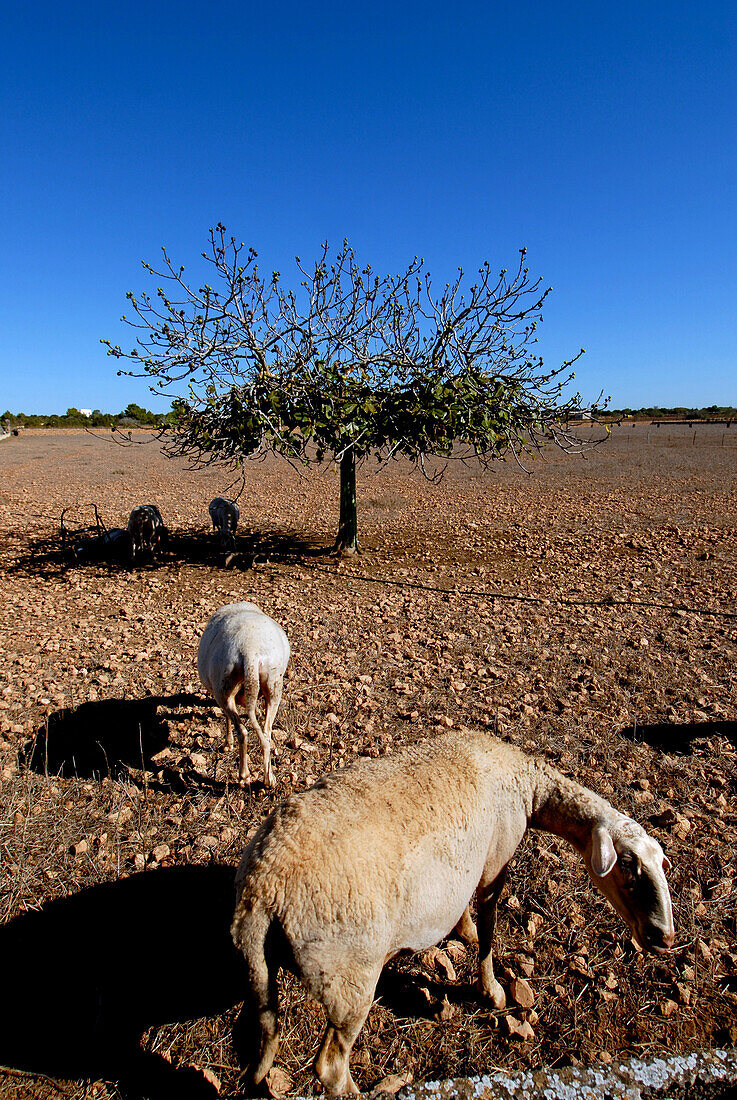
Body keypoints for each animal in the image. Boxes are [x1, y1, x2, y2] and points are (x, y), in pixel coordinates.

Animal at [199, 602, 292, 792]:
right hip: (274, 681)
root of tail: (250, 651)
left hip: (223, 687)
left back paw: (244, 777)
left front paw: (227, 744)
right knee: (266, 732)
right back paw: (269, 779)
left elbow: (227, 718)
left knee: (242, 731)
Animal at [231, 726, 677, 1095]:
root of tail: (261, 894)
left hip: (274, 975)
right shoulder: (495, 861)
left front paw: (463, 931)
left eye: (661, 863)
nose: (665, 938)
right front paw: (493, 990)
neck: (528, 787)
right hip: (347, 978)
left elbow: (465, 913)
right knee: (330, 1069)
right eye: (629, 864)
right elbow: (489, 929)